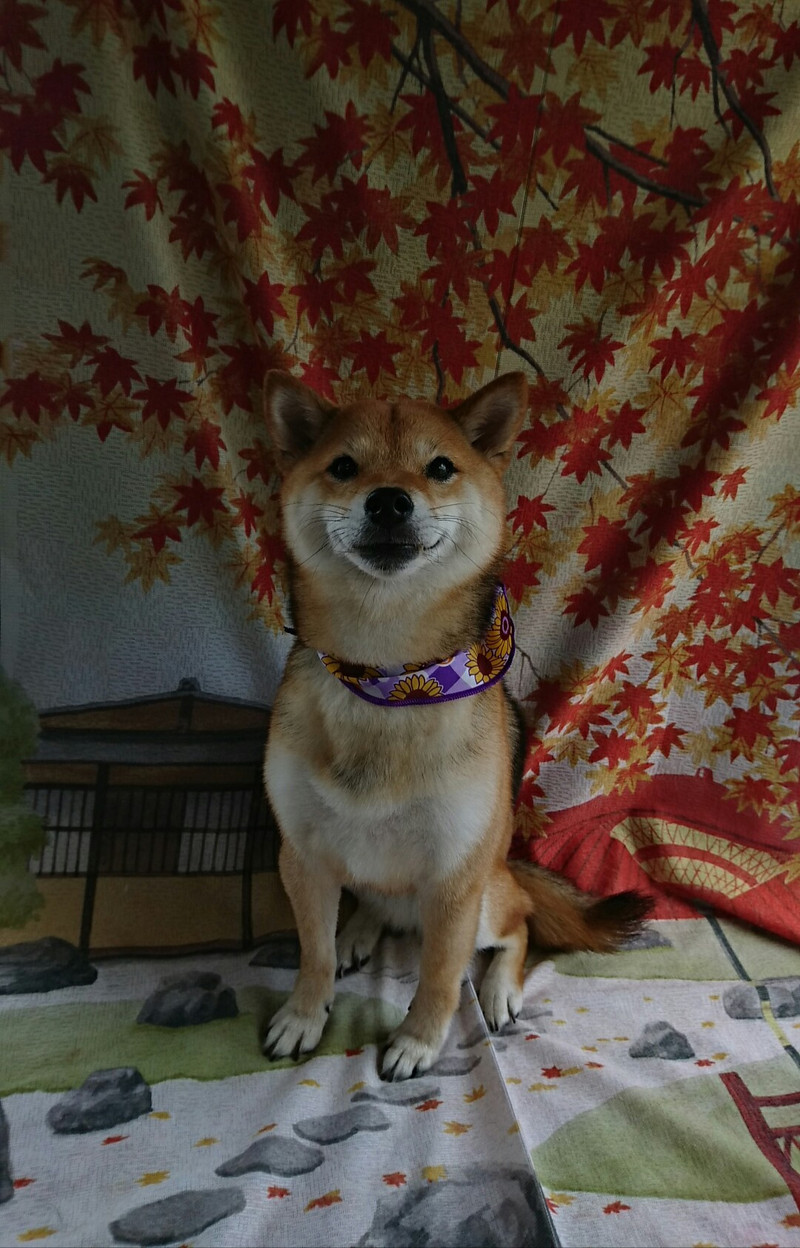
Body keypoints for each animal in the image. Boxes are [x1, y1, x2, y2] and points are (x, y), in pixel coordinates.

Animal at [261, 369, 650, 1080]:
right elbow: (313, 954)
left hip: (487, 894)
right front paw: (305, 1016)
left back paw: (498, 990)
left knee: (518, 924)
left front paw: (418, 1041)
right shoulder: (302, 854)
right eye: (343, 466)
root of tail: (510, 865)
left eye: (439, 468)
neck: (388, 679)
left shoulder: (453, 877)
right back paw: (359, 932)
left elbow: (442, 973)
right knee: (373, 907)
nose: (389, 502)